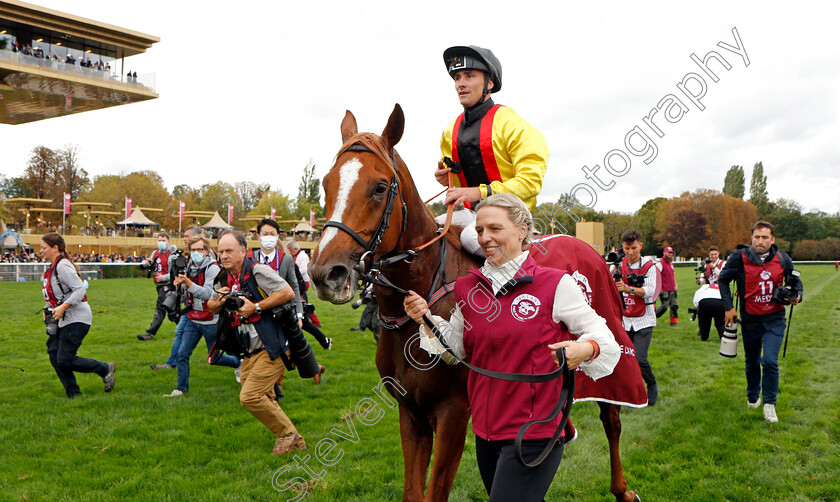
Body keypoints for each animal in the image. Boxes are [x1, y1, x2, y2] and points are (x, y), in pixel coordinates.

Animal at [310, 104, 644, 500]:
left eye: (378, 187)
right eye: (326, 184)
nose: (325, 272)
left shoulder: (453, 413)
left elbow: (436, 490)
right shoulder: (411, 413)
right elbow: (413, 491)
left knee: (612, 418)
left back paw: (622, 488)